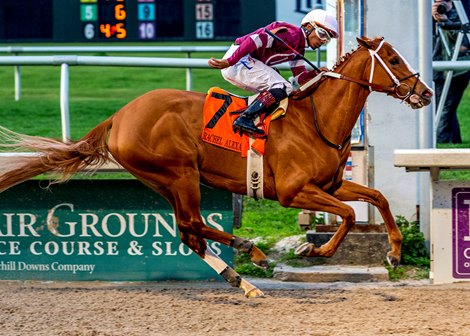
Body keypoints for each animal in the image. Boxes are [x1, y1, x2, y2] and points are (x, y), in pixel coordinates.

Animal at [0, 38, 432, 298]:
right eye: (393, 59)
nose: (425, 92)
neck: (317, 120)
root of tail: (119, 115)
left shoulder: (330, 184)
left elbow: (377, 197)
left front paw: (394, 252)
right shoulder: (293, 191)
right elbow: (347, 215)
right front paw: (317, 248)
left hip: (165, 180)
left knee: (188, 231)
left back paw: (243, 279)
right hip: (180, 173)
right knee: (192, 224)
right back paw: (250, 252)